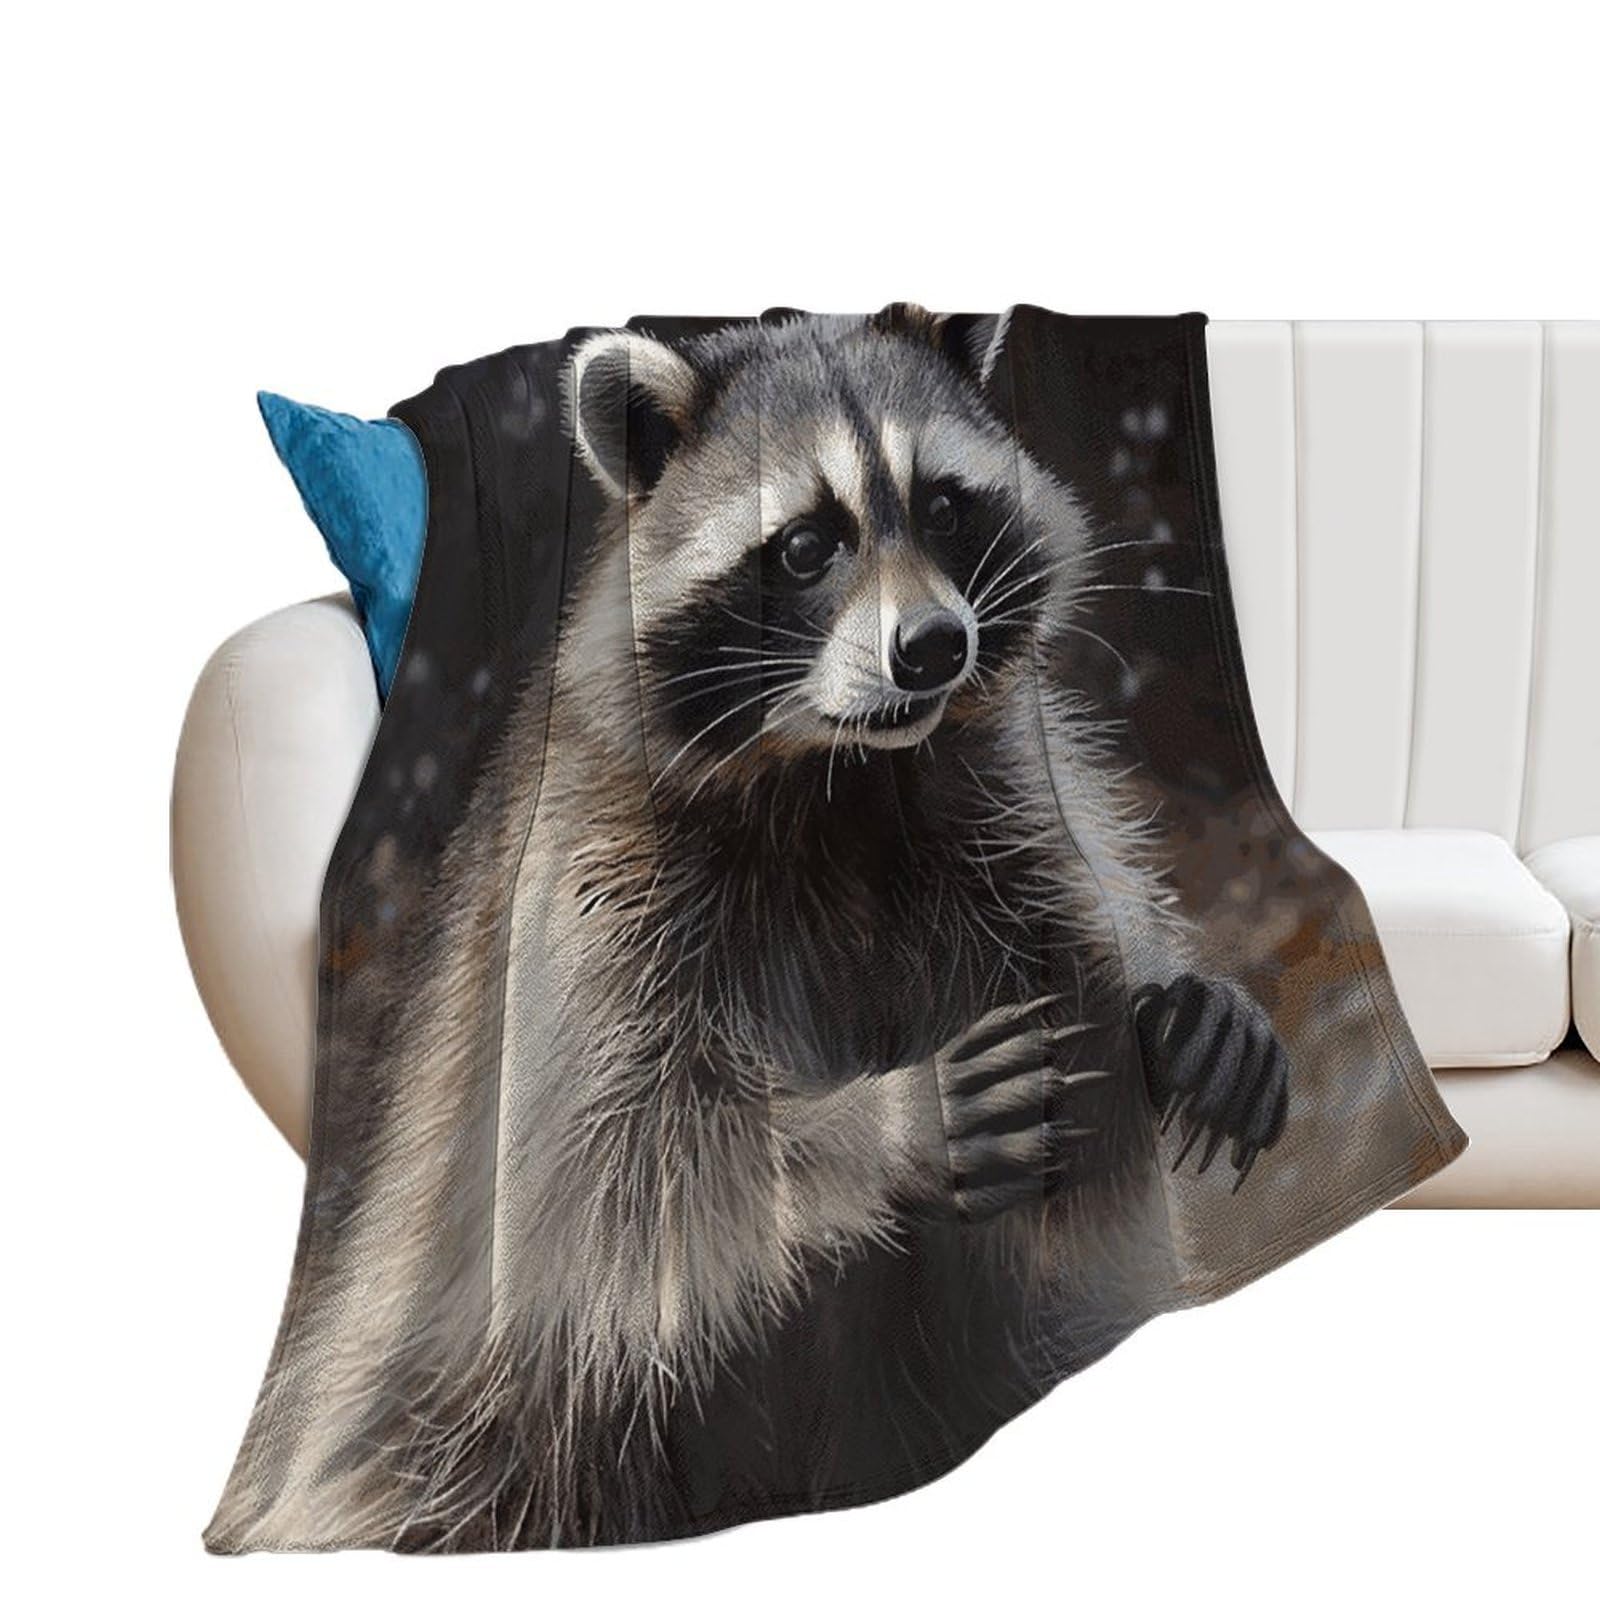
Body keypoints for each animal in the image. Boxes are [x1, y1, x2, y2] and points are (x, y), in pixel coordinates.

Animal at [209, 308, 1289, 1552]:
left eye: (944, 507)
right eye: (806, 545)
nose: (934, 646)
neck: (847, 779)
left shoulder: (1005, 811)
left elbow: (1095, 1046)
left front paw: (1177, 1001)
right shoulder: (591, 896)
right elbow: (604, 1181)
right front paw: (890, 1122)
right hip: (450, 1433)